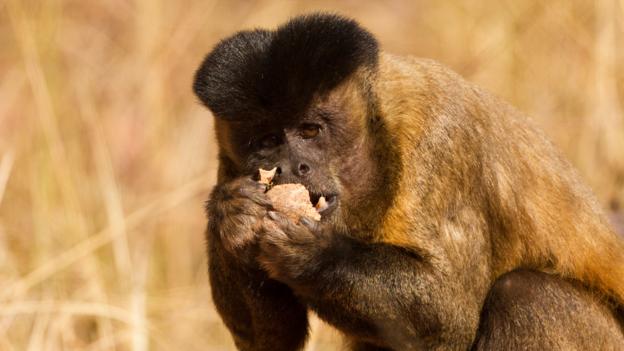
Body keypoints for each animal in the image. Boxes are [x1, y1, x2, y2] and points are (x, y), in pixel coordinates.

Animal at [193, 13, 624, 351]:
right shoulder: (229, 163)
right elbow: (270, 341)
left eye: (310, 131)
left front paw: (314, 253)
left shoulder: (440, 135)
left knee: (526, 295)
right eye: (267, 142)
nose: (289, 167)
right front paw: (233, 216)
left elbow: (450, 315)